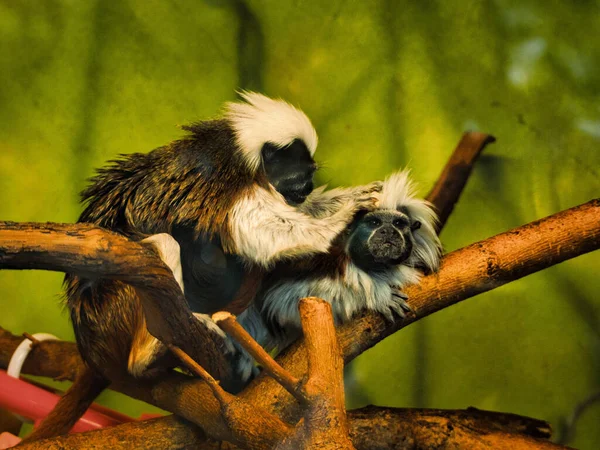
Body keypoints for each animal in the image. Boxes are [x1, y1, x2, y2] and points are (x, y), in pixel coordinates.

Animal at [25, 91, 380, 440]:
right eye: (302, 175)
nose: (305, 189)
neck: (243, 159)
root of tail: (90, 344)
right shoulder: (225, 185)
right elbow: (260, 233)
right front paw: (346, 212)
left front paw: (345, 199)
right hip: (113, 306)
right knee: (165, 244)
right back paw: (151, 351)